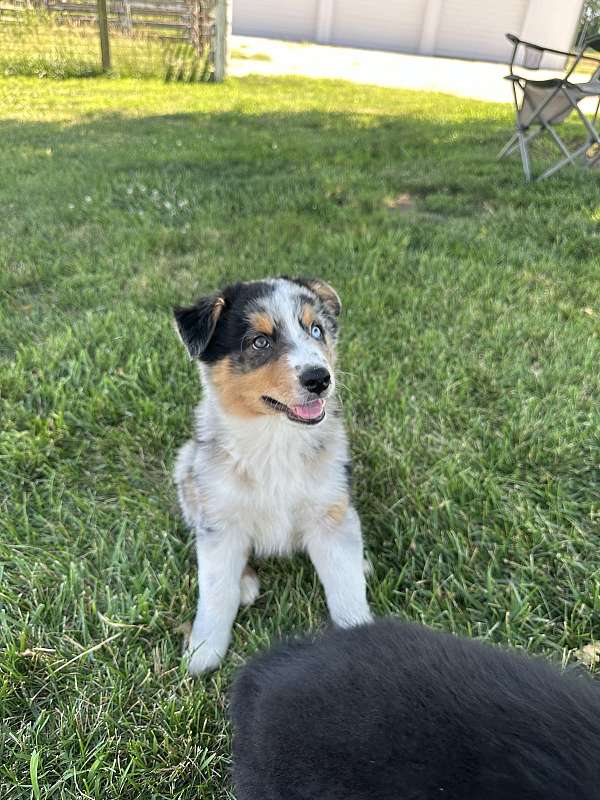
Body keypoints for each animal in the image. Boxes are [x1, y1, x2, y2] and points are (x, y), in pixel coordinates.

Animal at [171, 278, 372, 672]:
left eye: (316, 330)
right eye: (259, 341)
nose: (320, 379)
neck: (276, 438)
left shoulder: (331, 513)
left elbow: (346, 587)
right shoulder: (220, 519)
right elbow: (216, 590)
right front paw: (203, 652)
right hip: (187, 468)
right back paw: (245, 583)